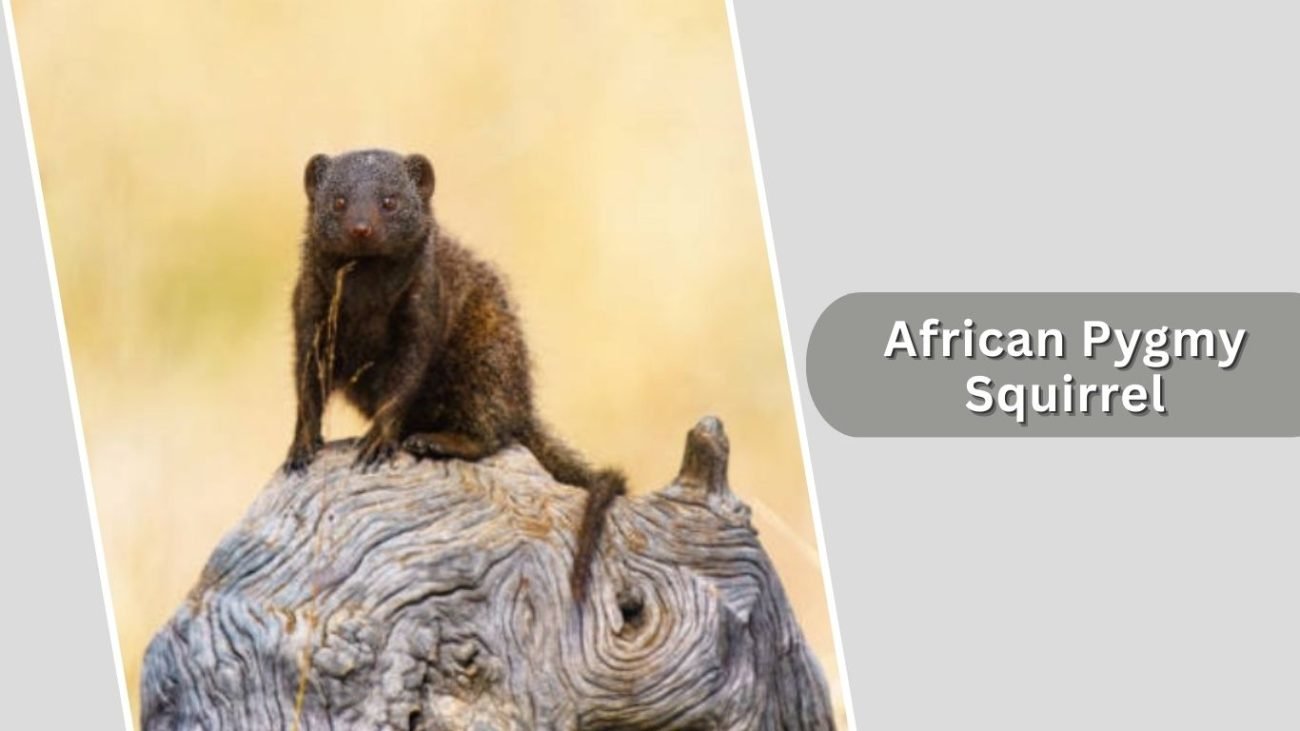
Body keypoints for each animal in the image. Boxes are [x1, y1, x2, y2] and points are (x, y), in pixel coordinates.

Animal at [282, 148, 625, 602]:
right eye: (338, 202)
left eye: (390, 201)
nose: (361, 228)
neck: (366, 297)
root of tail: (523, 402)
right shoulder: (310, 311)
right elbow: (306, 386)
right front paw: (301, 447)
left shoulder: (425, 305)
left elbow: (406, 378)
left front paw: (377, 441)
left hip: (485, 354)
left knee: (493, 432)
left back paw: (435, 441)